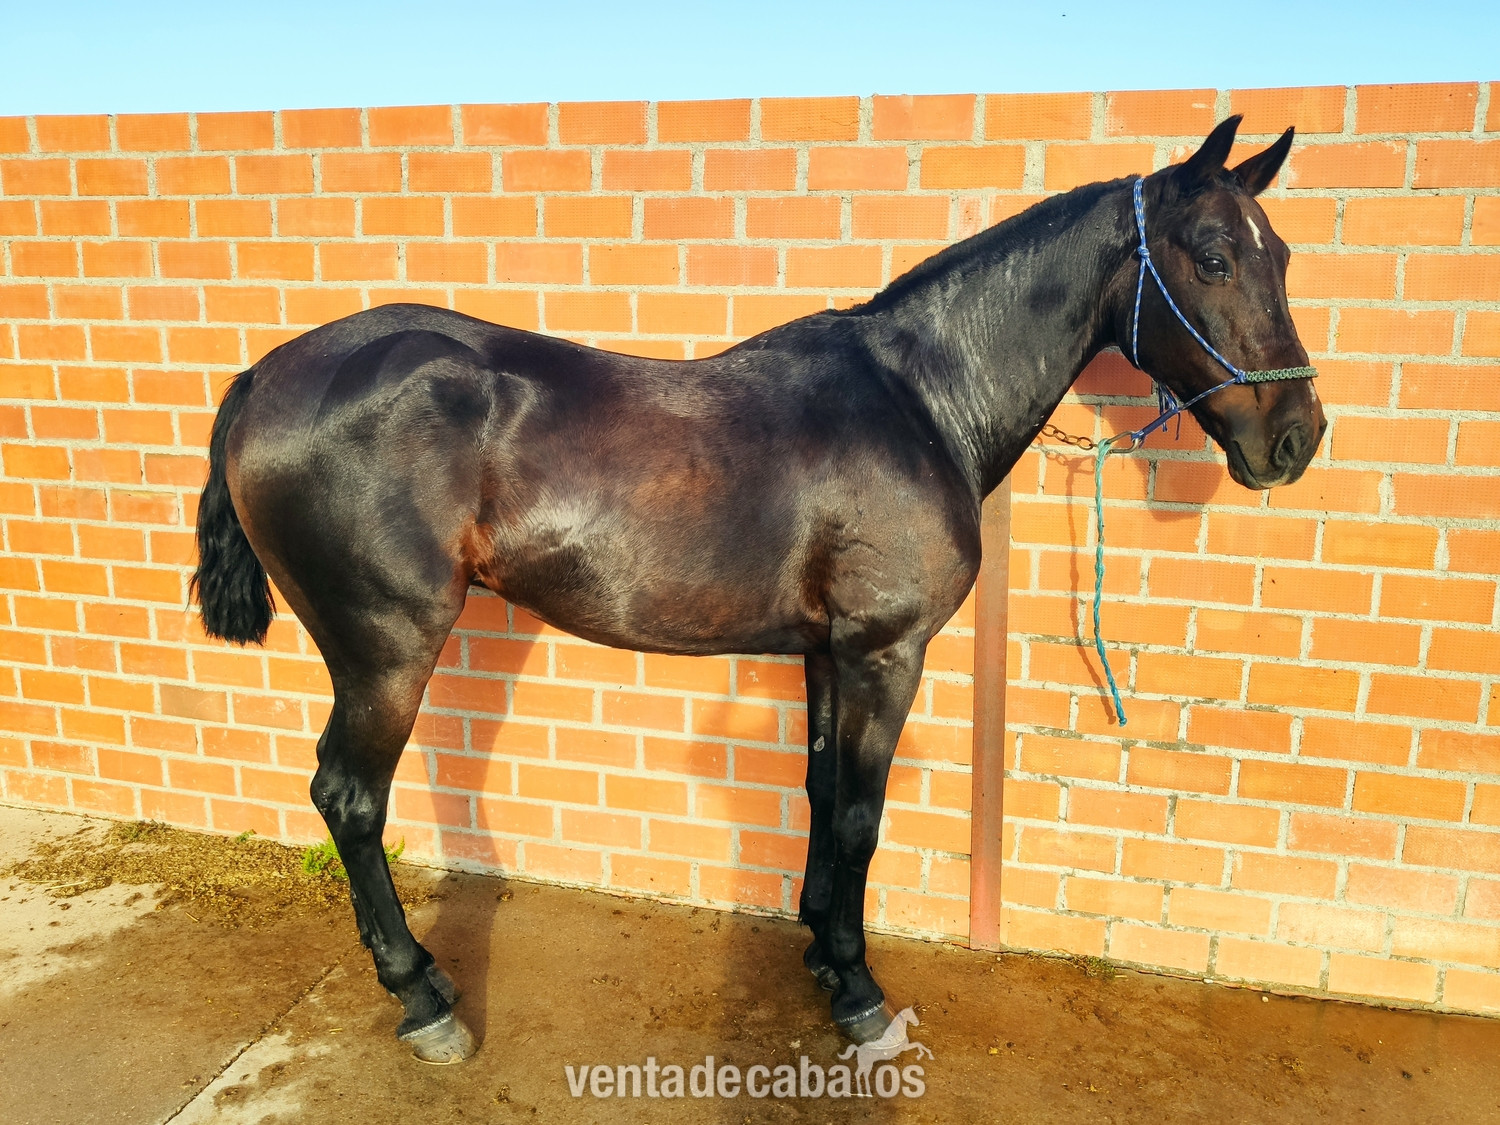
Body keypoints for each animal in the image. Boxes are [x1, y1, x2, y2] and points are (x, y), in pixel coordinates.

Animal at [190, 115, 1324, 1063]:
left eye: (1283, 253)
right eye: (1213, 257)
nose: (1295, 439)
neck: (919, 399)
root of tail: (261, 379)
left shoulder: (827, 651)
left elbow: (822, 794)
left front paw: (823, 950)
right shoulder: (884, 650)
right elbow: (862, 813)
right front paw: (860, 992)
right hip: (386, 644)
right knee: (349, 797)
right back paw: (423, 999)